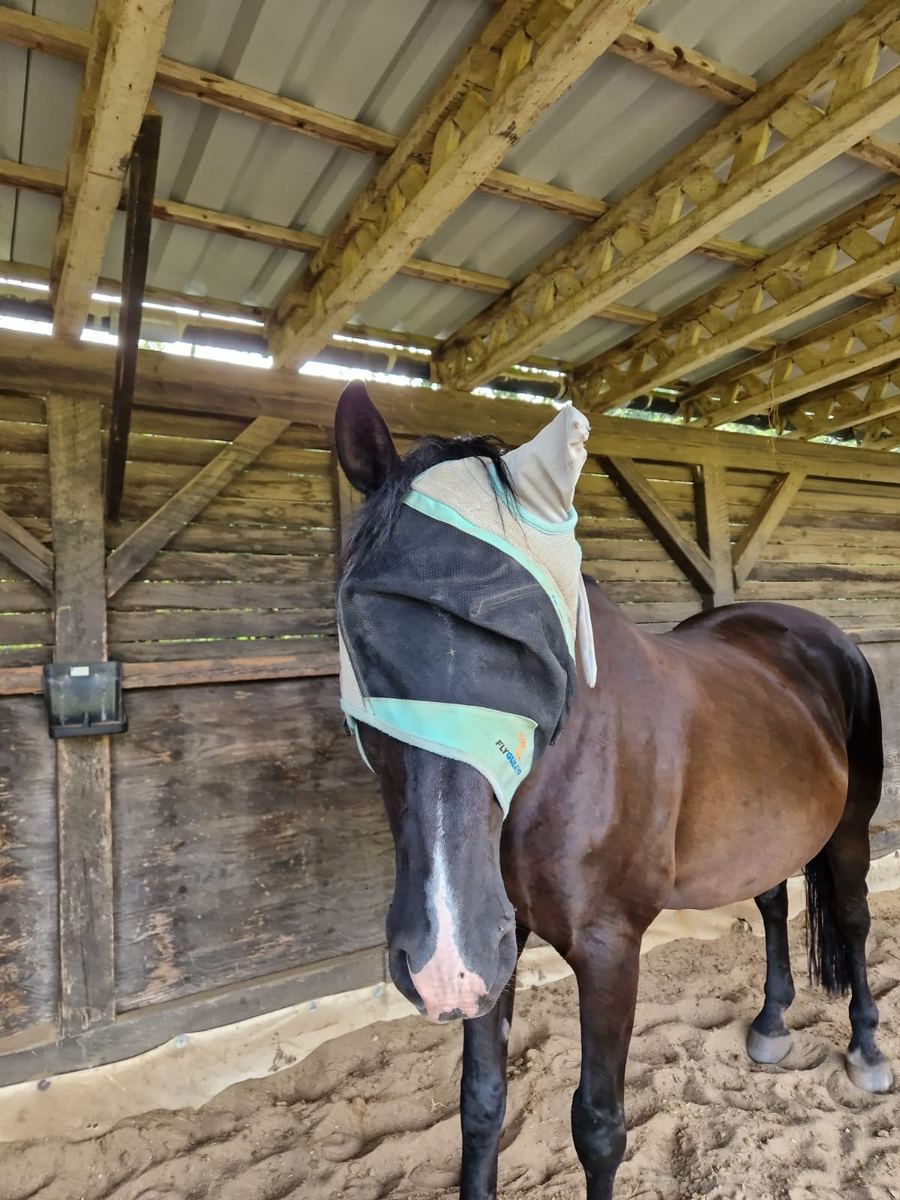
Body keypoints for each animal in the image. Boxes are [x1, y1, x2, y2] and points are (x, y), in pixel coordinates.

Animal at [332, 380, 893, 1200]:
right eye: (360, 622)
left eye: (530, 639)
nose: (440, 958)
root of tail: (820, 634)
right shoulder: (495, 948)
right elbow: (480, 1105)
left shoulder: (608, 950)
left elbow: (598, 1127)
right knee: (771, 902)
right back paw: (770, 1024)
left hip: (850, 830)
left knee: (851, 920)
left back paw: (867, 1051)